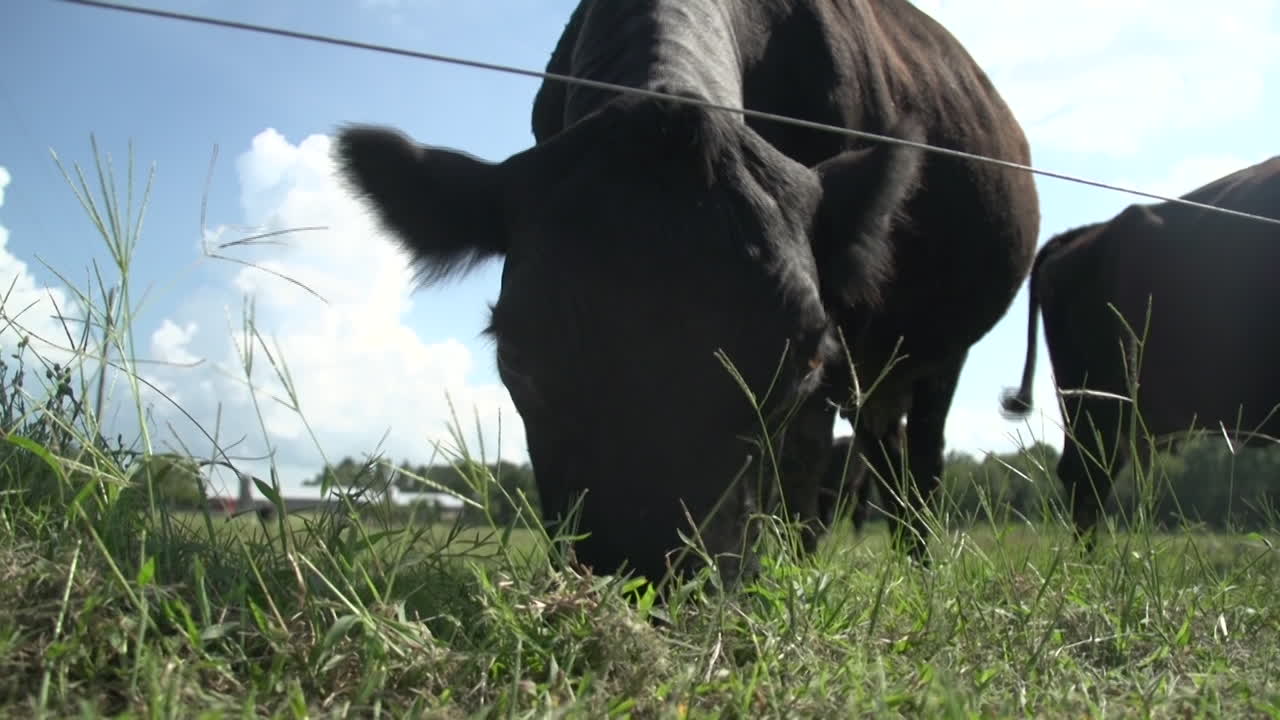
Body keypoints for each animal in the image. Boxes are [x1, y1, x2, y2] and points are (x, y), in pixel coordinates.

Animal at [337, 0, 1040, 584]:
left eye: (806, 361)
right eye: (513, 358)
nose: (649, 586)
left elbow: (800, 469)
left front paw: (788, 581)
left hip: (939, 355)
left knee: (918, 461)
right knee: (883, 450)